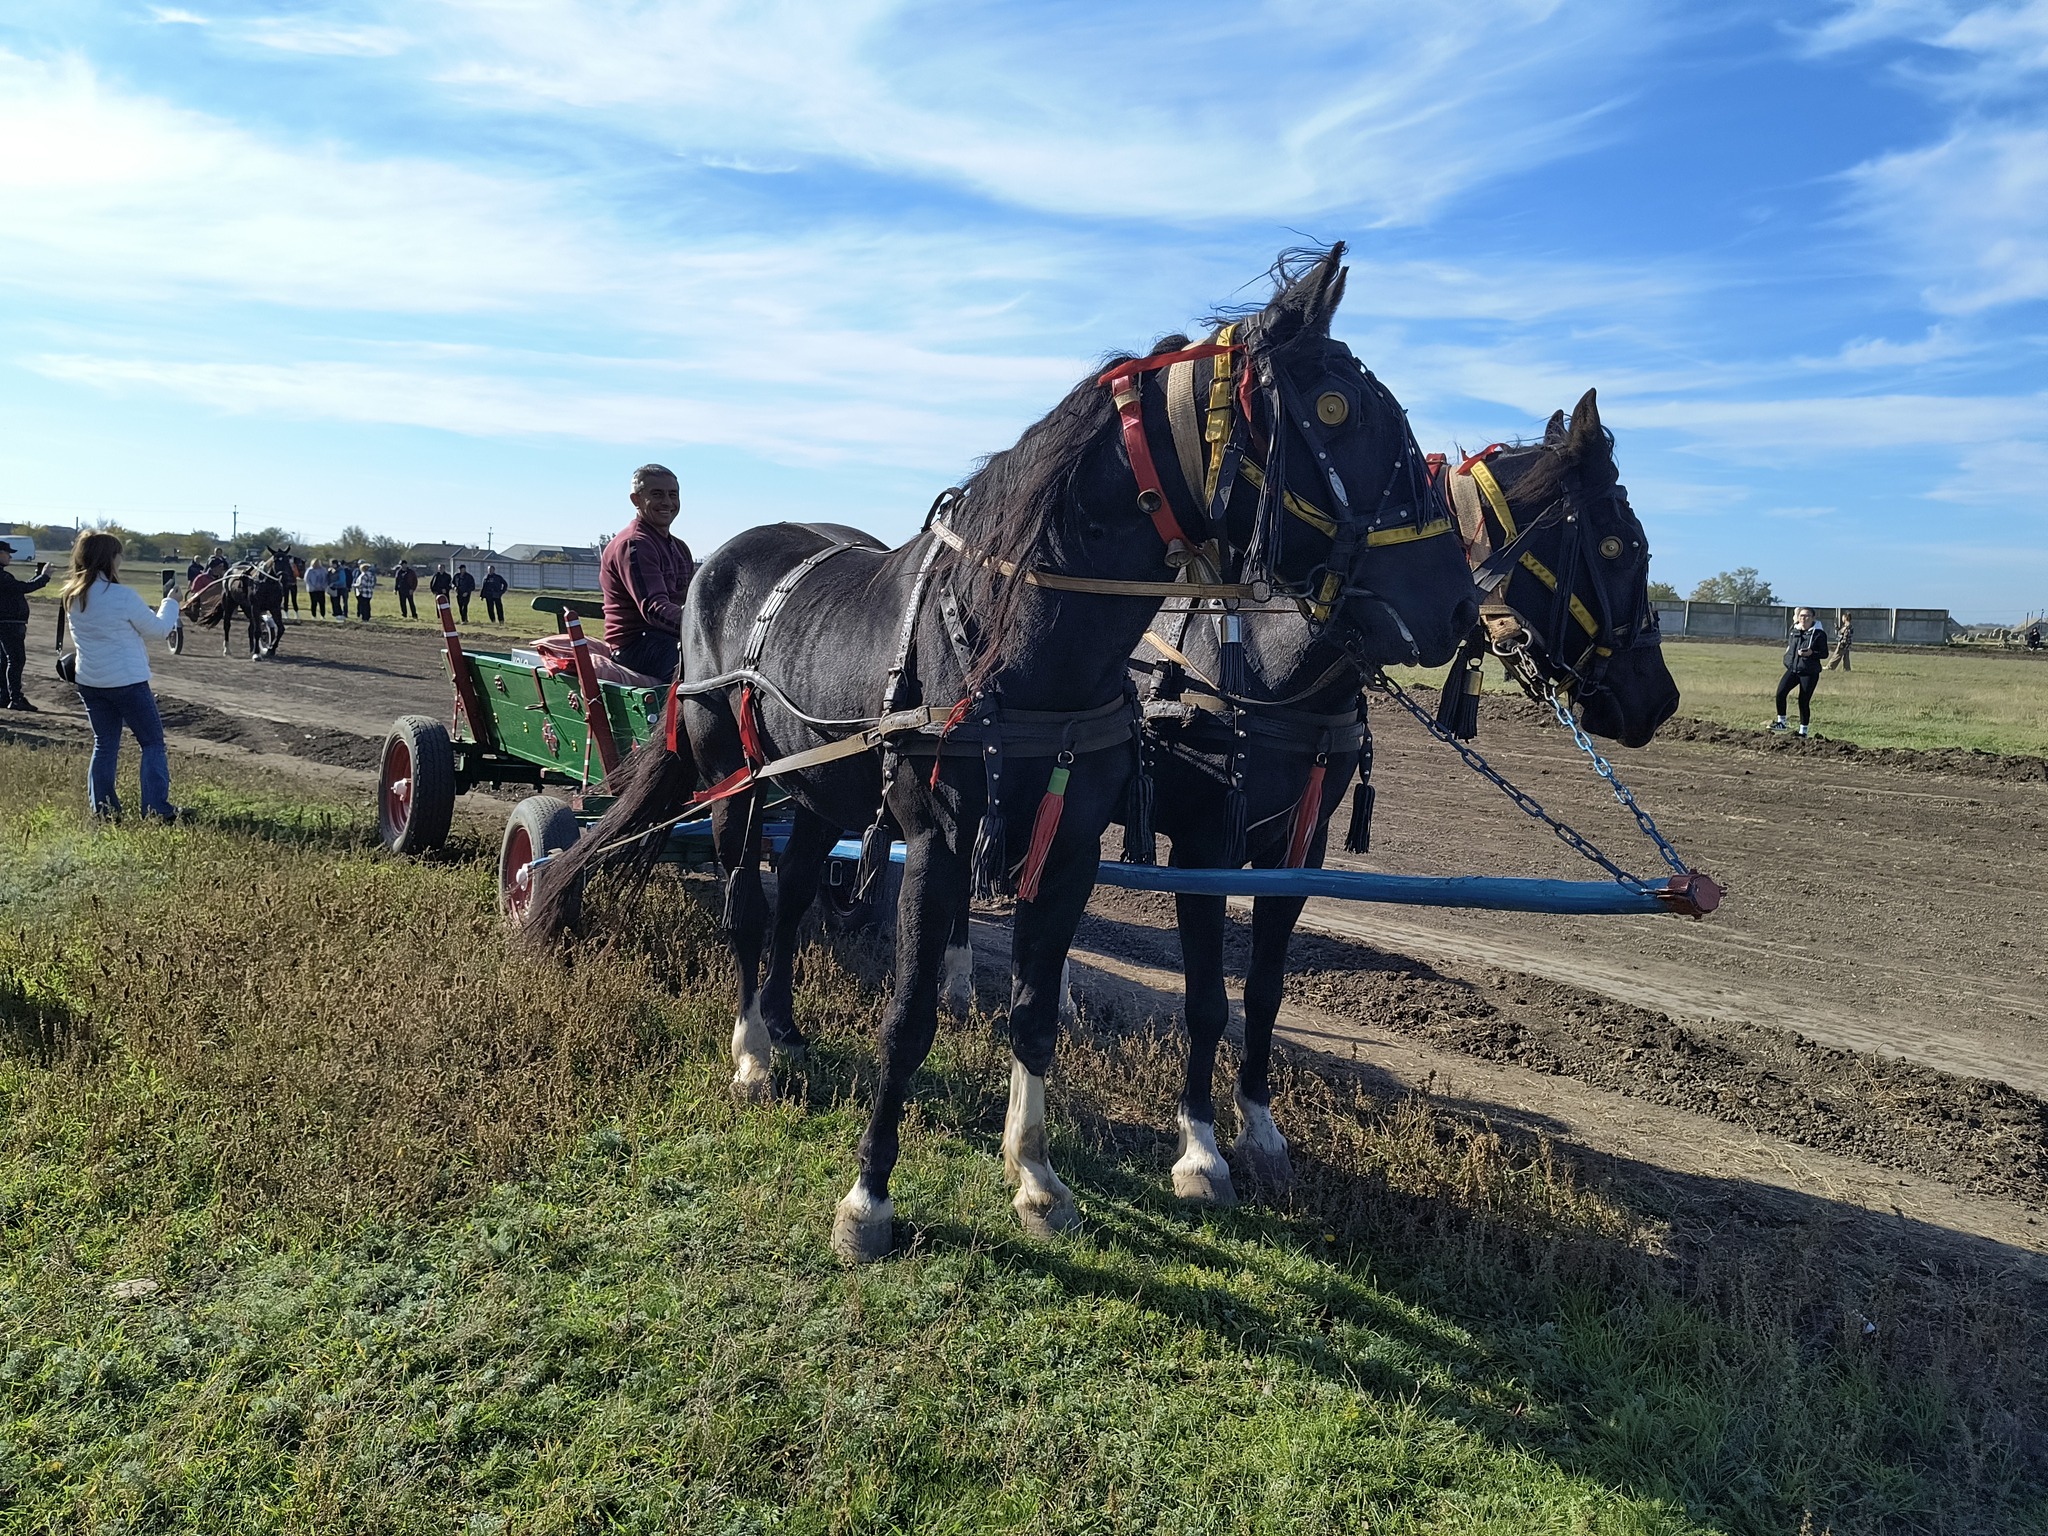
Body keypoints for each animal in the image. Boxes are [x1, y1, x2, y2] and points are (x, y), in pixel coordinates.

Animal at [536, 249, 1482, 1261]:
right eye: (1337, 410)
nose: (1457, 605)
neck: (1007, 642)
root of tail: (723, 560)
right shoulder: (947, 844)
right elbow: (908, 1018)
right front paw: (869, 1198)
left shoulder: (1073, 849)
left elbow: (1037, 1011)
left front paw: (1034, 1175)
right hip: (735, 783)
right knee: (747, 910)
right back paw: (753, 1049)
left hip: (822, 793)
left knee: (791, 896)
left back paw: (786, 1029)